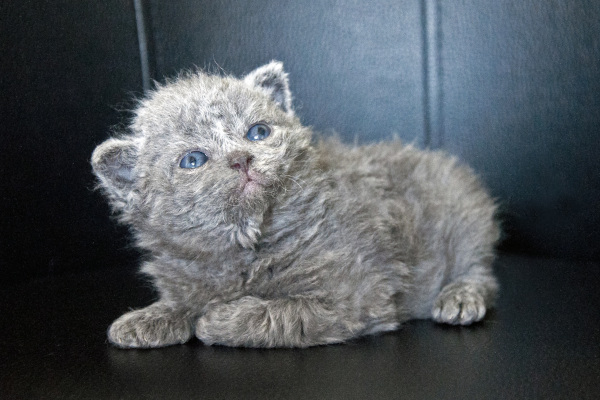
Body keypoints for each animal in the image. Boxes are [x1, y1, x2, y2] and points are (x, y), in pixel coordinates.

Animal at [91, 61, 500, 348]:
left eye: (258, 132)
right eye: (193, 160)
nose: (241, 159)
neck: (249, 244)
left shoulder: (358, 297)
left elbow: (285, 312)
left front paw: (219, 320)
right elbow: (180, 300)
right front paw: (147, 318)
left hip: (464, 218)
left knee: (481, 270)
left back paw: (461, 296)